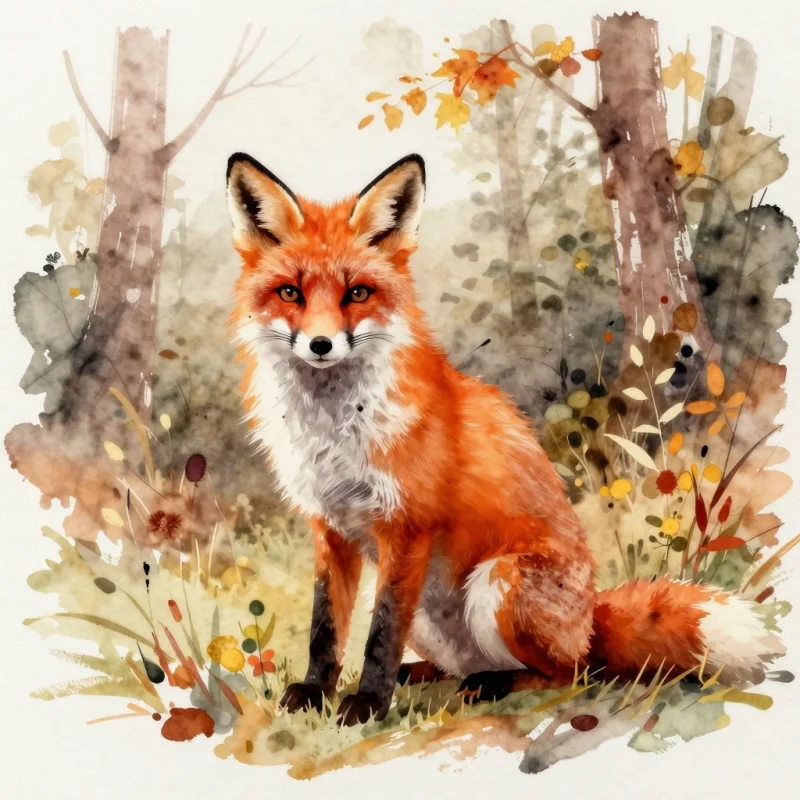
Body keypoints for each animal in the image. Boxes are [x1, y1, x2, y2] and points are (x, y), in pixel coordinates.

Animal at [225, 151, 784, 726]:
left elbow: (381, 631)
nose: (320, 344)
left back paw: (493, 683)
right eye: (290, 292)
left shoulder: (407, 525)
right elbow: (326, 627)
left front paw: (366, 704)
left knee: (571, 674)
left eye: (356, 293)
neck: (335, 432)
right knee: (464, 665)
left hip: (500, 579)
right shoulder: (330, 527)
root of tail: (590, 622)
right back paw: (428, 676)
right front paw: (315, 694)